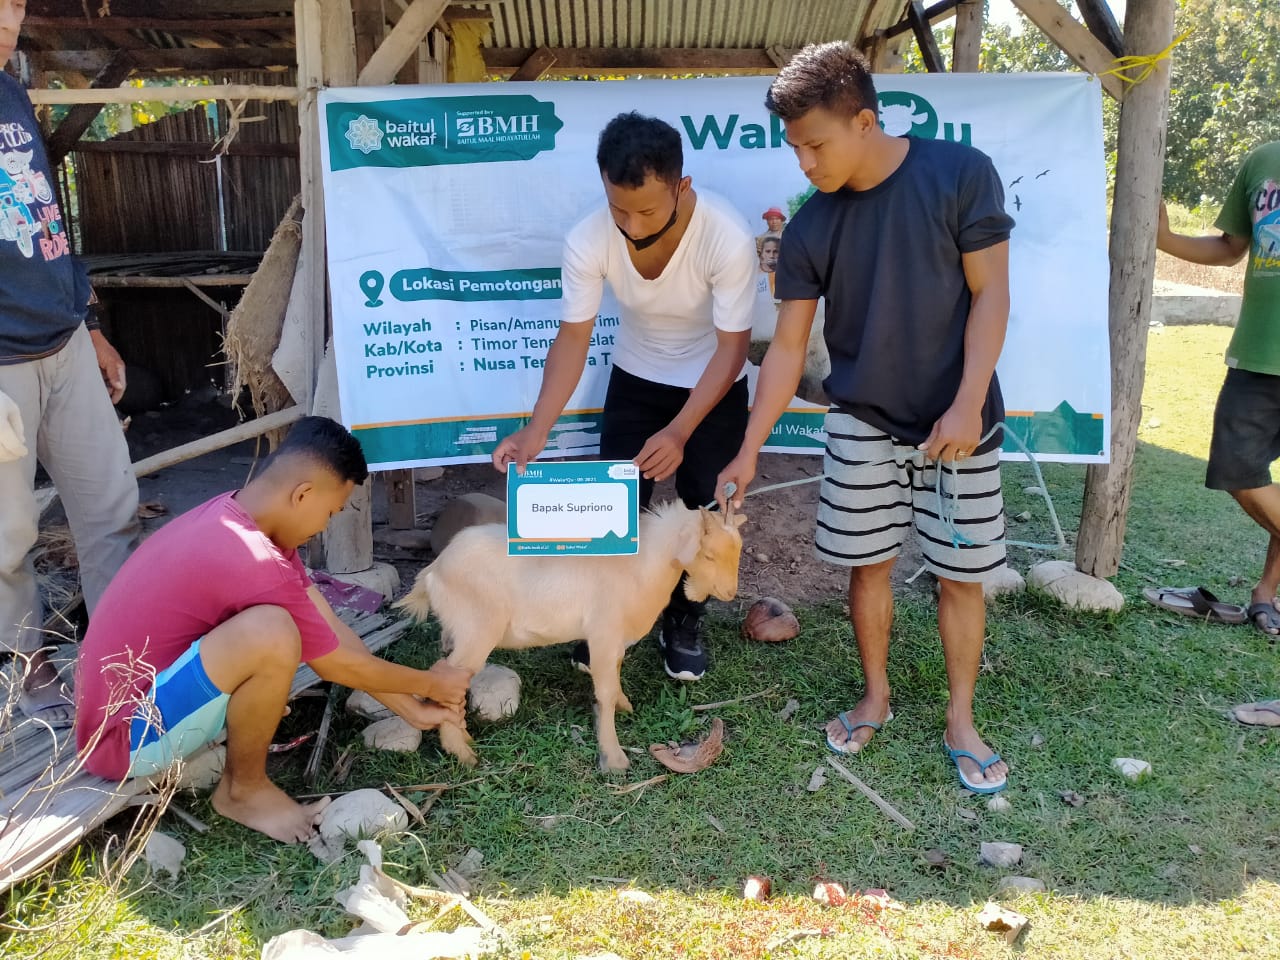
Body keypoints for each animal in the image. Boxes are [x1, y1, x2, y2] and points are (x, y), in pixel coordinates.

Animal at [394, 499, 747, 773]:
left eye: (738, 552)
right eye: (709, 555)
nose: (730, 593)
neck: (640, 566)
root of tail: (433, 572)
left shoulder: (613, 639)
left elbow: (614, 677)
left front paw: (624, 706)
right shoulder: (604, 634)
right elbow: (604, 692)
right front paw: (613, 758)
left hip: (458, 633)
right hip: (476, 632)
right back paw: (464, 754)